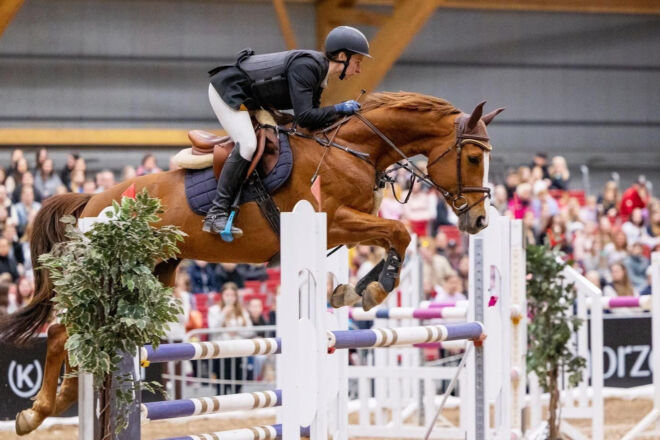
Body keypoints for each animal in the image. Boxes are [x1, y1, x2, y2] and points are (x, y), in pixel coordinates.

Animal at [0, 91, 503, 435]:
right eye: (472, 157)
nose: (479, 219)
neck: (352, 147)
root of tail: (91, 201)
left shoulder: (348, 227)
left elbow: (394, 237)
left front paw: (355, 289)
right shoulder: (334, 220)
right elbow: (399, 231)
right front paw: (373, 287)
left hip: (156, 270)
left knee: (86, 333)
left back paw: (63, 397)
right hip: (114, 269)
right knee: (62, 331)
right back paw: (36, 412)